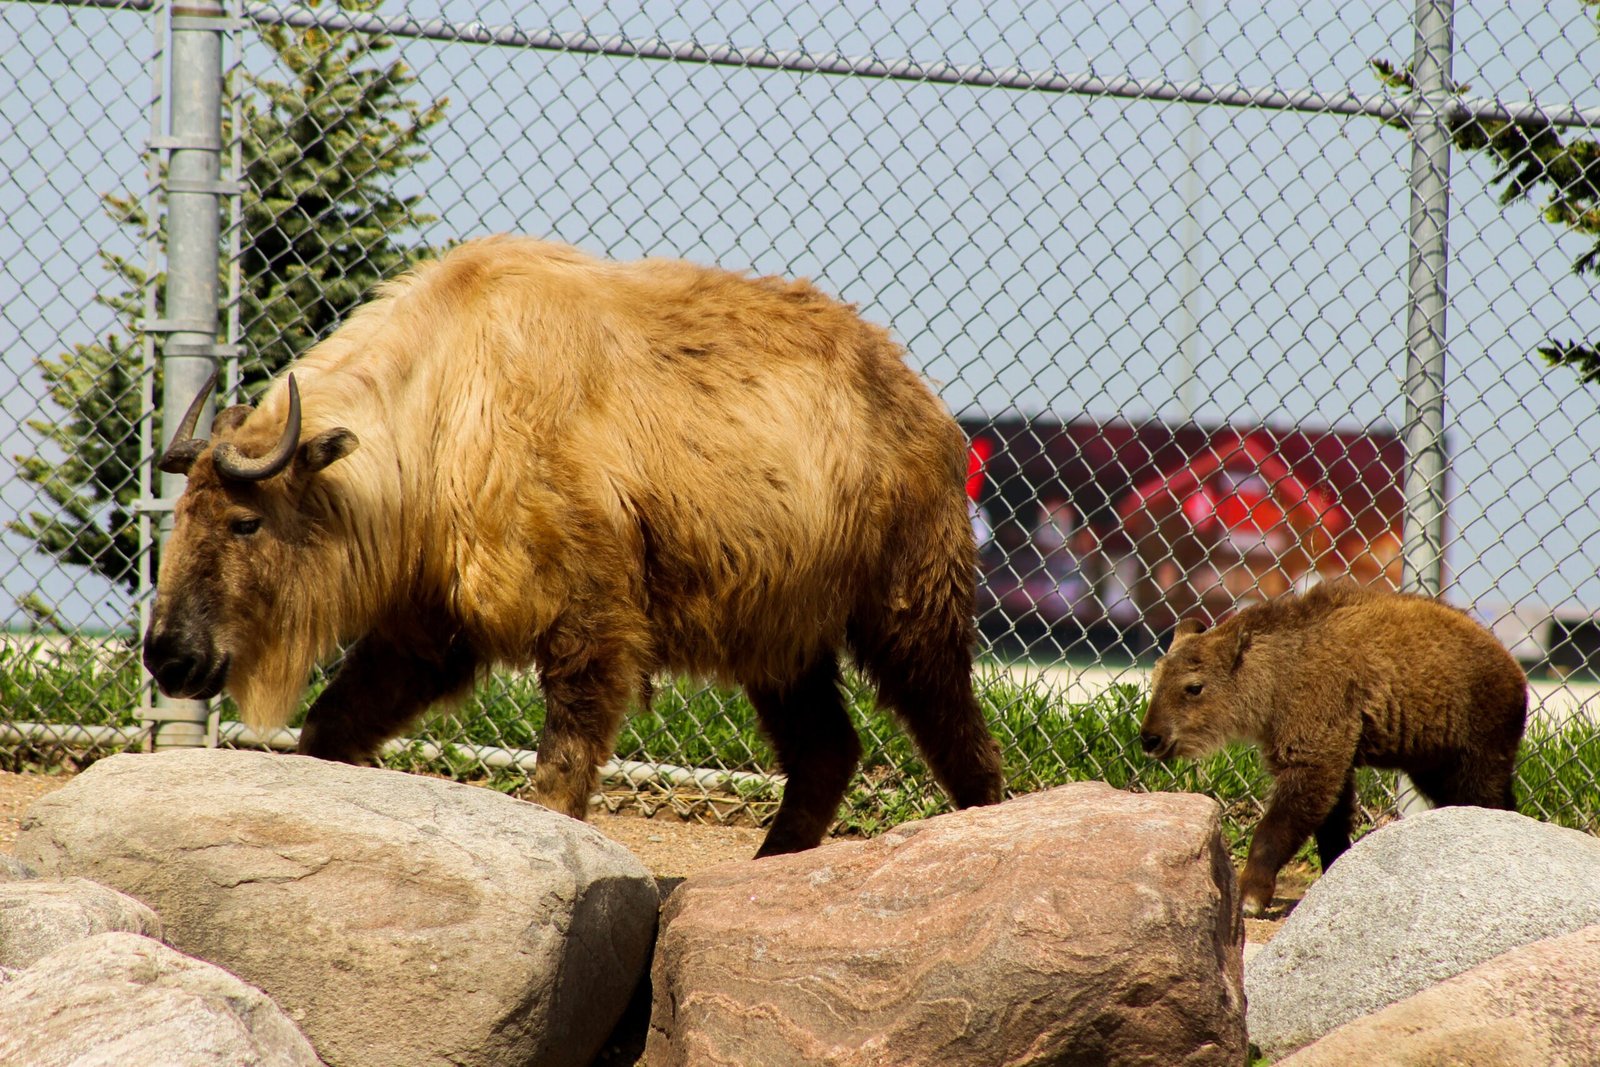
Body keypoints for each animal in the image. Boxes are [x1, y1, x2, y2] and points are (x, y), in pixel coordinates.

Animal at [144, 235, 1006, 855]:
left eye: (246, 521)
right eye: (182, 513)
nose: (167, 656)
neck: (443, 406)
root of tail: (919, 397)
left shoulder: (590, 622)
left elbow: (560, 769)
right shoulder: (427, 629)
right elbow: (331, 727)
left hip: (906, 611)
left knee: (959, 738)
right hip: (778, 636)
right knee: (827, 751)